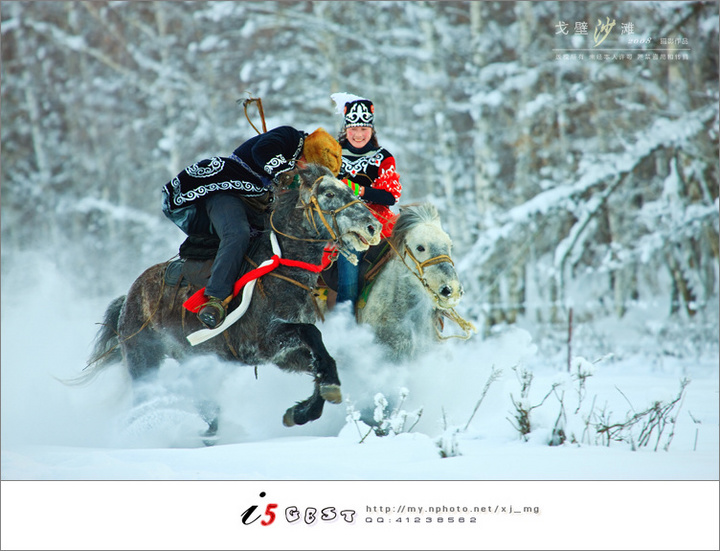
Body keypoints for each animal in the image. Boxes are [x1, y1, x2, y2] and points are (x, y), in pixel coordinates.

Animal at [84, 166, 380, 434]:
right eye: (329, 193)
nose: (373, 226)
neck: (281, 268)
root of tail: (129, 297)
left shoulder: (283, 355)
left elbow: (321, 362)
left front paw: (302, 411)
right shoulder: (263, 342)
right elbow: (312, 333)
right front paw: (320, 395)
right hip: (143, 360)